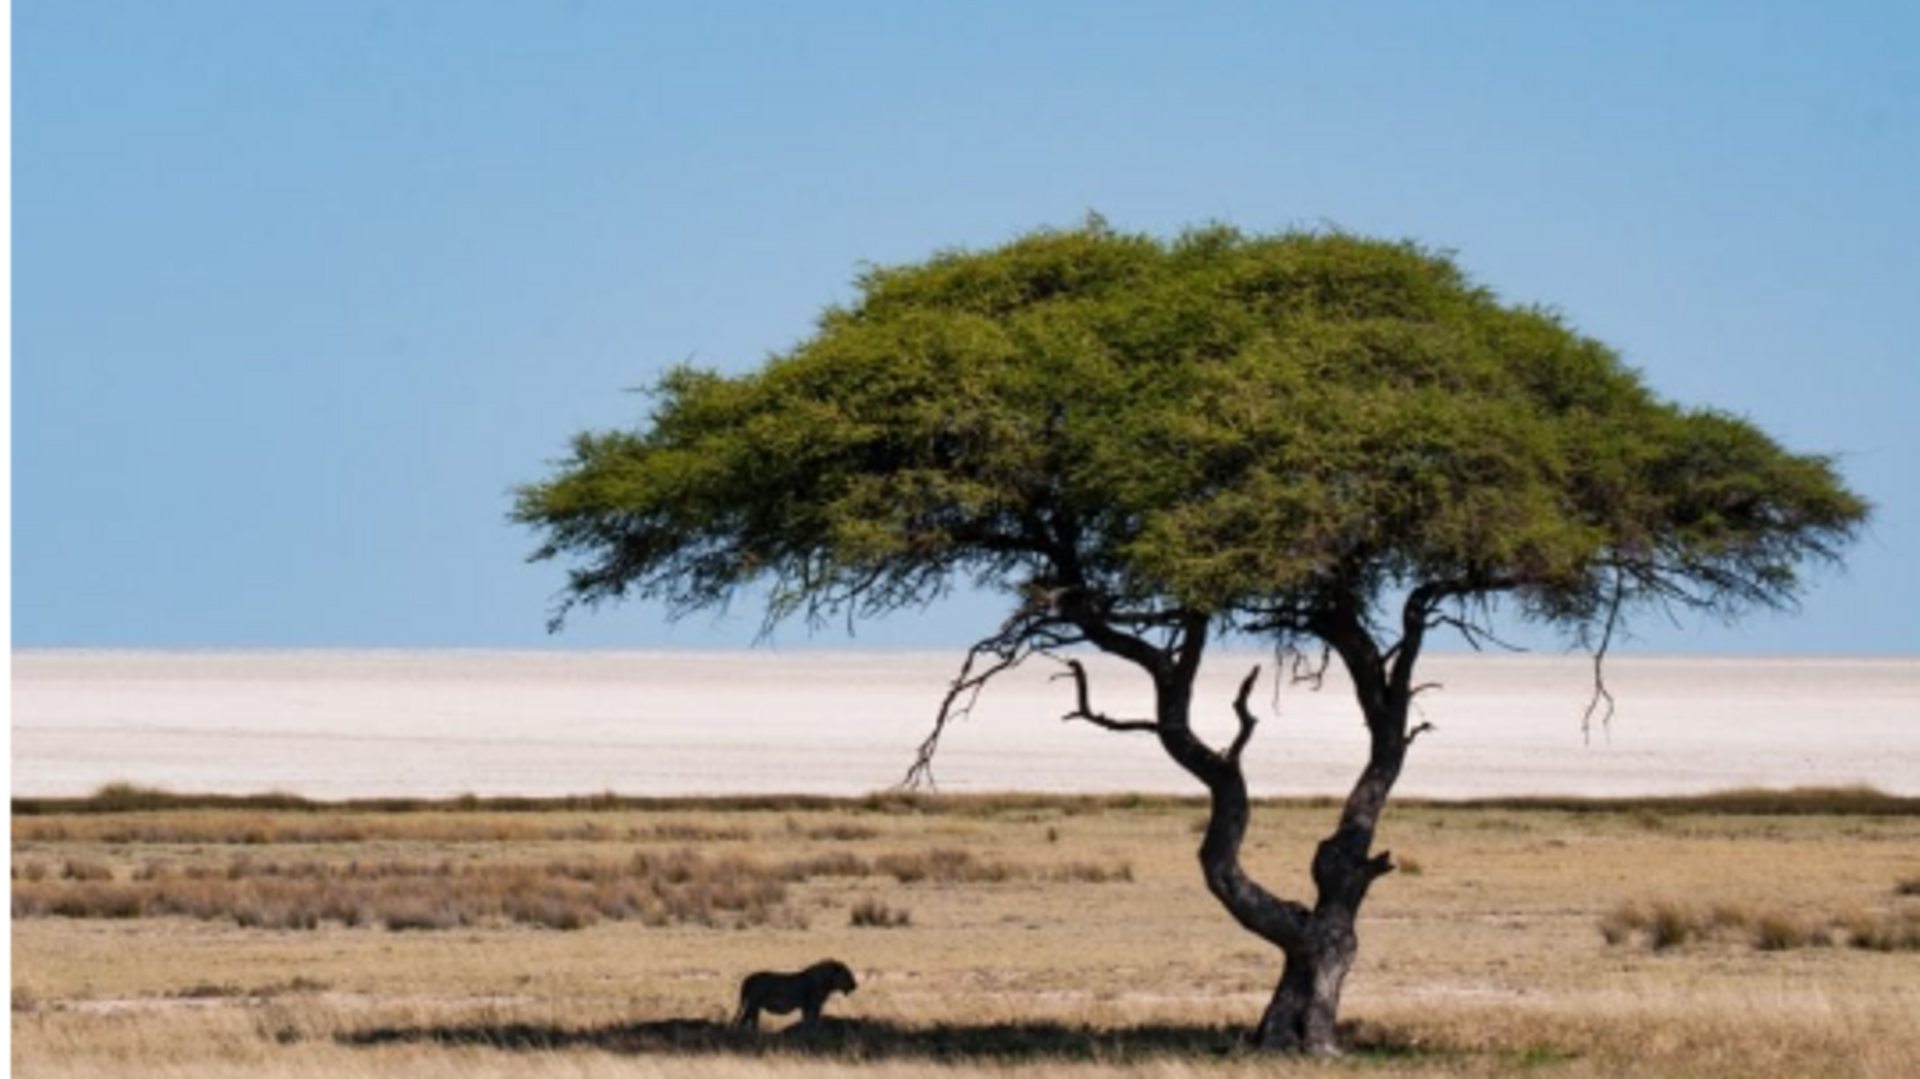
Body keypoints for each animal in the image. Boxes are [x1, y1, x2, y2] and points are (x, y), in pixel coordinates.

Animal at [729, 956, 860, 1021]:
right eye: (847, 974)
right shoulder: (812, 1007)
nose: (855, 985)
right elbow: (812, 1024)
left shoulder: (805, 1007)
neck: (827, 983)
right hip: (754, 1004)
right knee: (744, 1021)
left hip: (755, 1007)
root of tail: (749, 978)